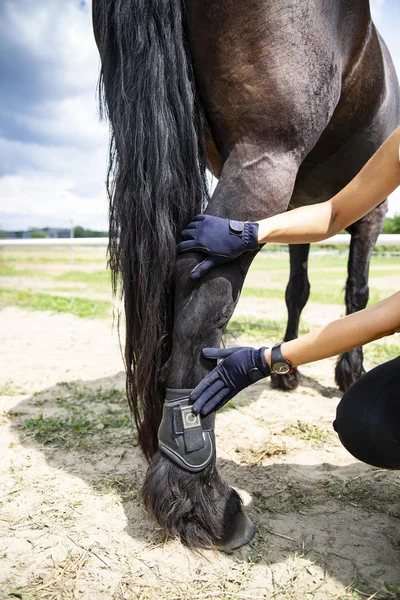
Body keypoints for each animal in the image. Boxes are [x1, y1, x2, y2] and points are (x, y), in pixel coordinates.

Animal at [92, 0, 398, 552]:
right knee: (198, 278)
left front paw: (287, 373)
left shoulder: (306, 208)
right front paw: (349, 371)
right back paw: (199, 497)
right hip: (266, 152)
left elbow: (298, 289)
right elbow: (358, 291)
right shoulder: (371, 209)